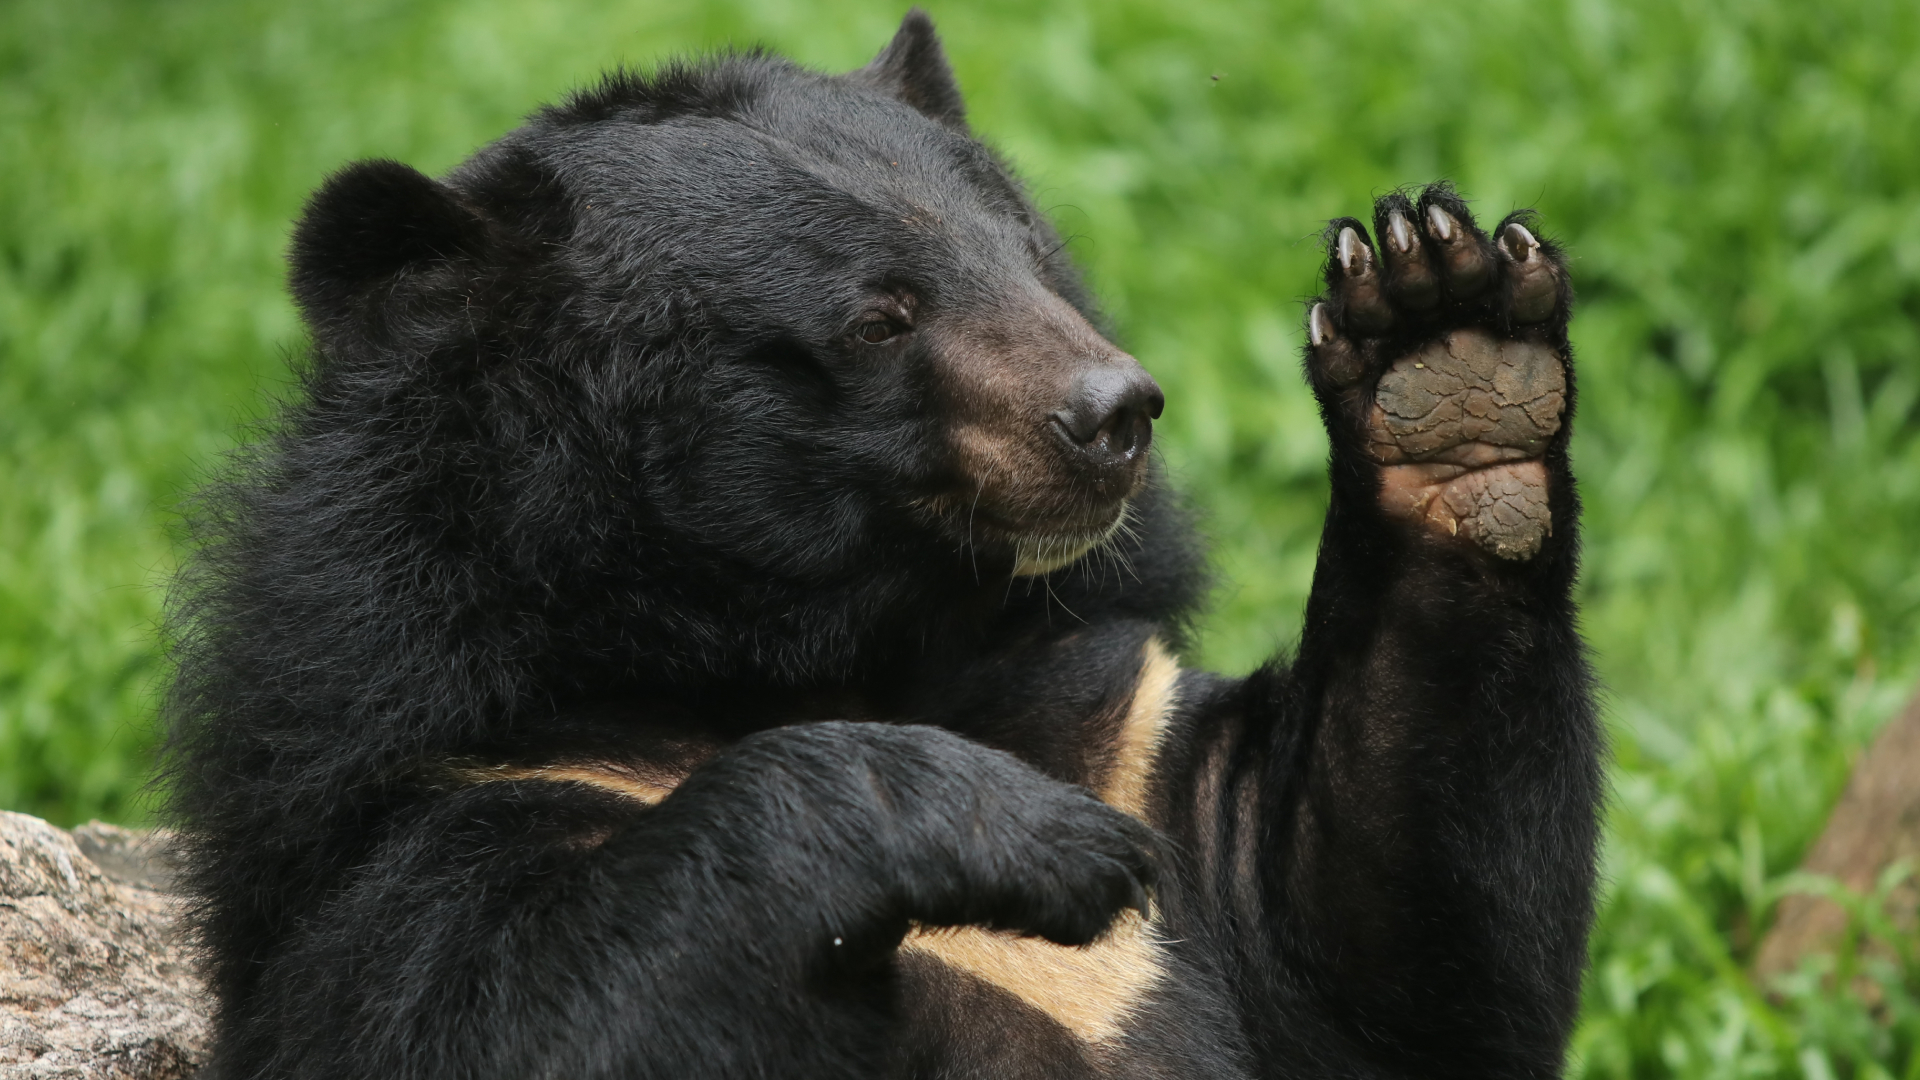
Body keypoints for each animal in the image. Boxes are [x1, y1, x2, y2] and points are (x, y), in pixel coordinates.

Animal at [162, 10, 1601, 1080]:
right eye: (877, 318)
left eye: (1022, 250)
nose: (1114, 413)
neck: (831, 646)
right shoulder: (446, 799)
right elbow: (512, 1010)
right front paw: (1030, 835)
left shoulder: (1122, 733)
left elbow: (1387, 941)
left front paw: (1445, 346)